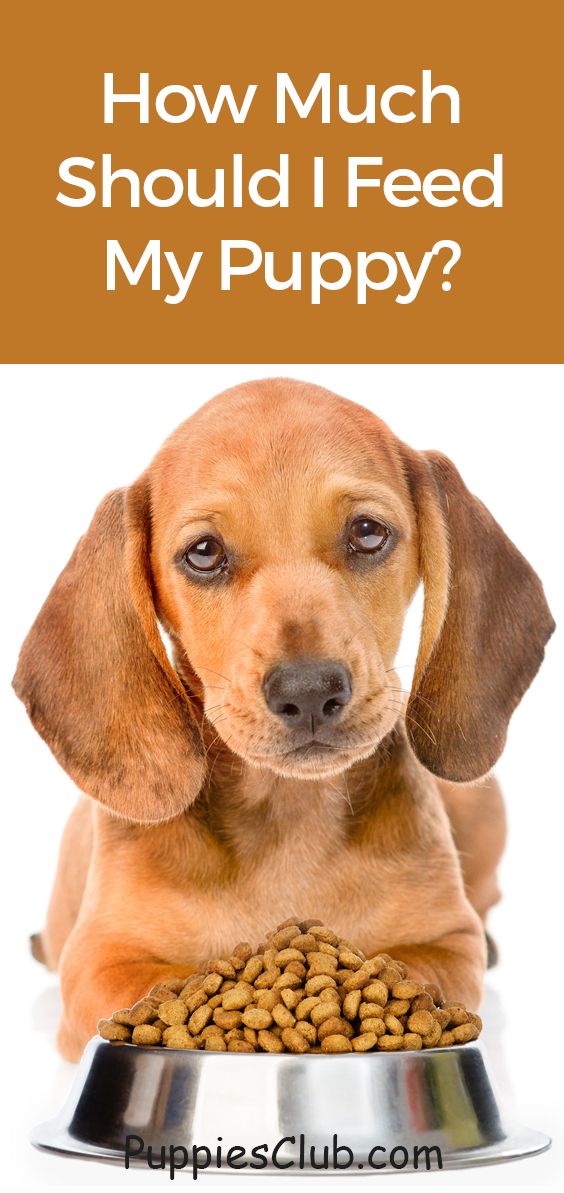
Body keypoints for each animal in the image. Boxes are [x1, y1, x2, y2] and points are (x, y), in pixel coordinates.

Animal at [14, 376, 553, 1059]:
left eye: (368, 532)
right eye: (204, 552)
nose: (310, 691)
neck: (289, 814)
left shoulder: (447, 943)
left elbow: (418, 971)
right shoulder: (100, 960)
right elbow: (165, 987)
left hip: (482, 798)